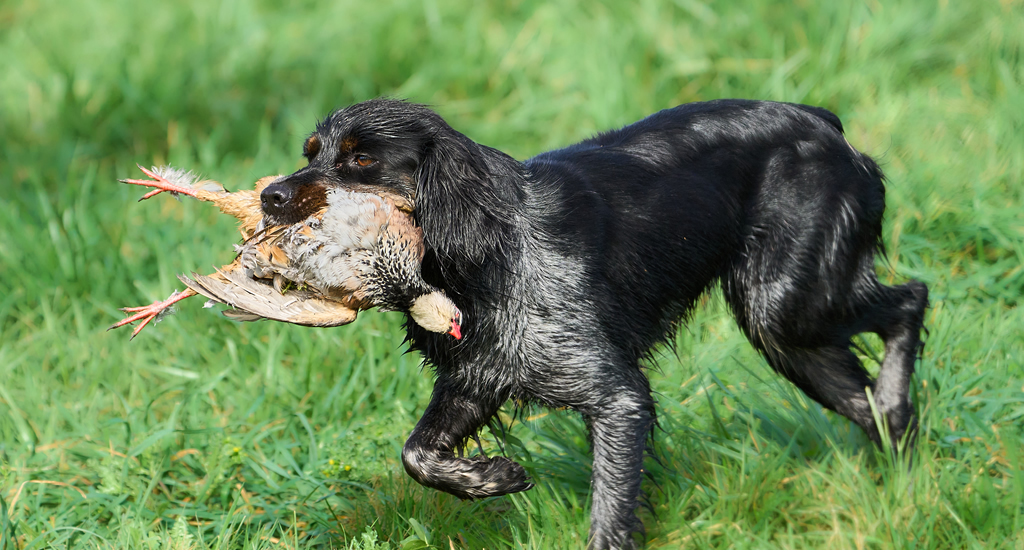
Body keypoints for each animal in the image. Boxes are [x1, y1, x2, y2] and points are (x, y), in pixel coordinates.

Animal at [256, 99, 929, 548]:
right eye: (310, 153)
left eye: (363, 159)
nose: (269, 197)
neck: (488, 250)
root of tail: (823, 122)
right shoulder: (478, 375)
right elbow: (416, 453)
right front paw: (494, 478)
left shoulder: (617, 398)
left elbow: (609, 509)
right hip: (790, 334)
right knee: (870, 402)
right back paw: (895, 470)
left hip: (785, 304)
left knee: (911, 301)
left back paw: (899, 412)